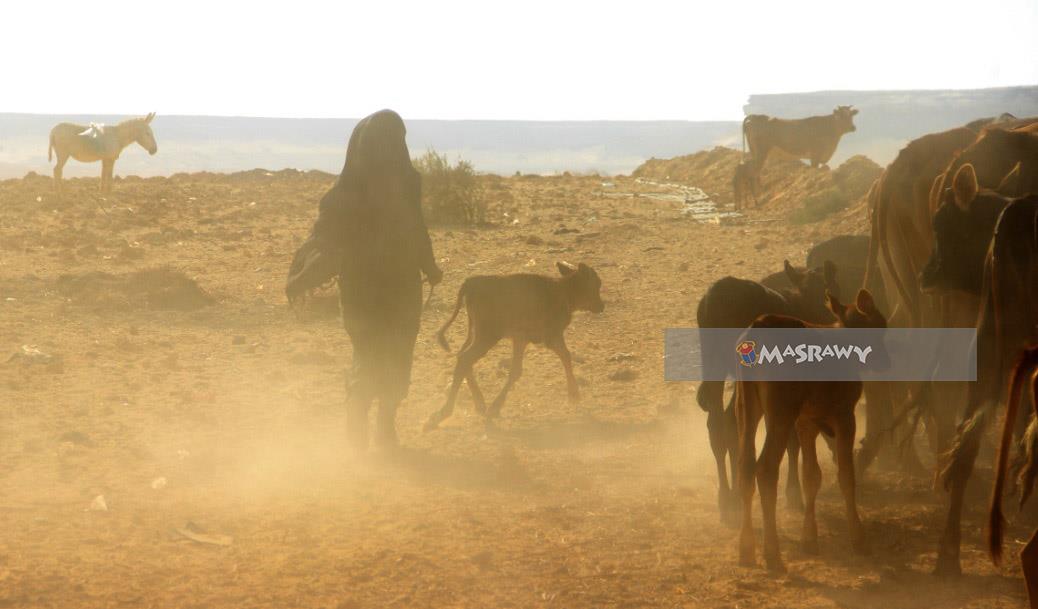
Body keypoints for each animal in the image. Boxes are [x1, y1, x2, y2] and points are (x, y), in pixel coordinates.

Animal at [286, 111, 444, 448]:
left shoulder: (411, 191)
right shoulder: (335, 202)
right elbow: (325, 236)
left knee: (387, 374)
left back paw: (380, 435)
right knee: (366, 377)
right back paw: (361, 435)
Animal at [419, 259, 602, 431]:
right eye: (596, 284)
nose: (602, 305)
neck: (563, 291)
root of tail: (472, 282)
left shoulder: (520, 339)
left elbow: (516, 371)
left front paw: (495, 408)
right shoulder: (551, 336)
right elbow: (565, 356)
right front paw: (574, 395)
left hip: (476, 333)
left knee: (463, 358)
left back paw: (479, 404)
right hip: (487, 336)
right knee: (465, 359)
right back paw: (444, 413)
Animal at [730, 290, 884, 572]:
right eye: (881, 326)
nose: (885, 362)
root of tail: (756, 329)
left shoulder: (806, 421)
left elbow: (811, 475)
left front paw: (809, 538)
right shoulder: (844, 416)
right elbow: (846, 475)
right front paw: (858, 539)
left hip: (745, 407)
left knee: (745, 466)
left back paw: (746, 550)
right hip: (780, 410)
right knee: (765, 468)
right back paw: (772, 553)